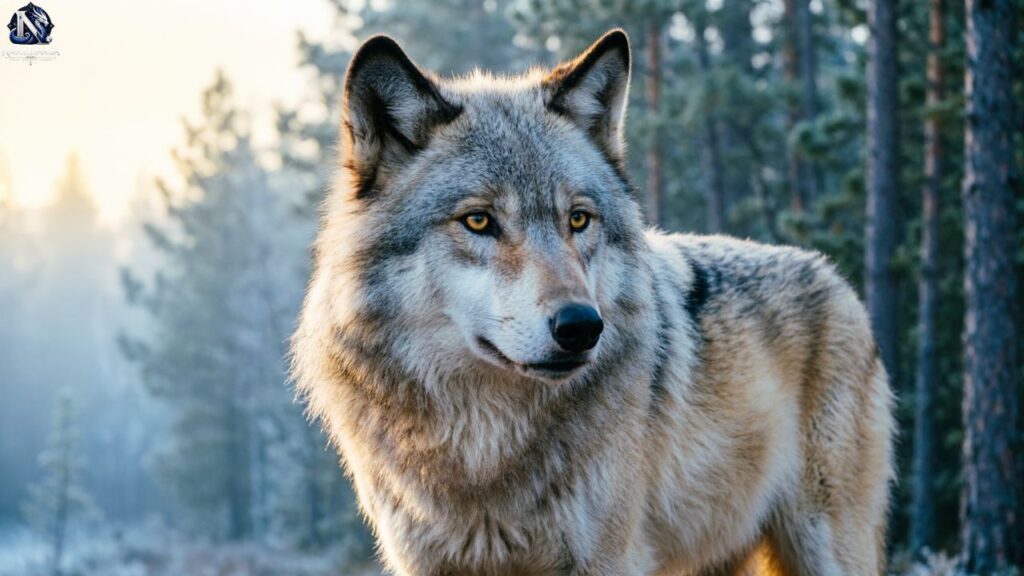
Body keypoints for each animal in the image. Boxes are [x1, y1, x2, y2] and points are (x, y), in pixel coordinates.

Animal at [291, 29, 894, 576]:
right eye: (479, 221)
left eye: (578, 219)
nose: (582, 326)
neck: (482, 447)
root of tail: (834, 276)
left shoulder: (607, 559)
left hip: (827, 548)